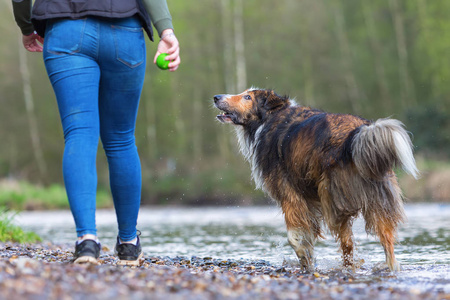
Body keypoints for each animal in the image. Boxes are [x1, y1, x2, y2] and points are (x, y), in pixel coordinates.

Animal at [214, 87, 418, 272]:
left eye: (247, 97)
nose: (216, 97)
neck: (269, 118)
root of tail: (355, 136)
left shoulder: (290, 194)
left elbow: (296, 237)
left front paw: (305, 260)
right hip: (376, 202)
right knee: (373, 241)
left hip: (333, 200)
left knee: (349, 240)